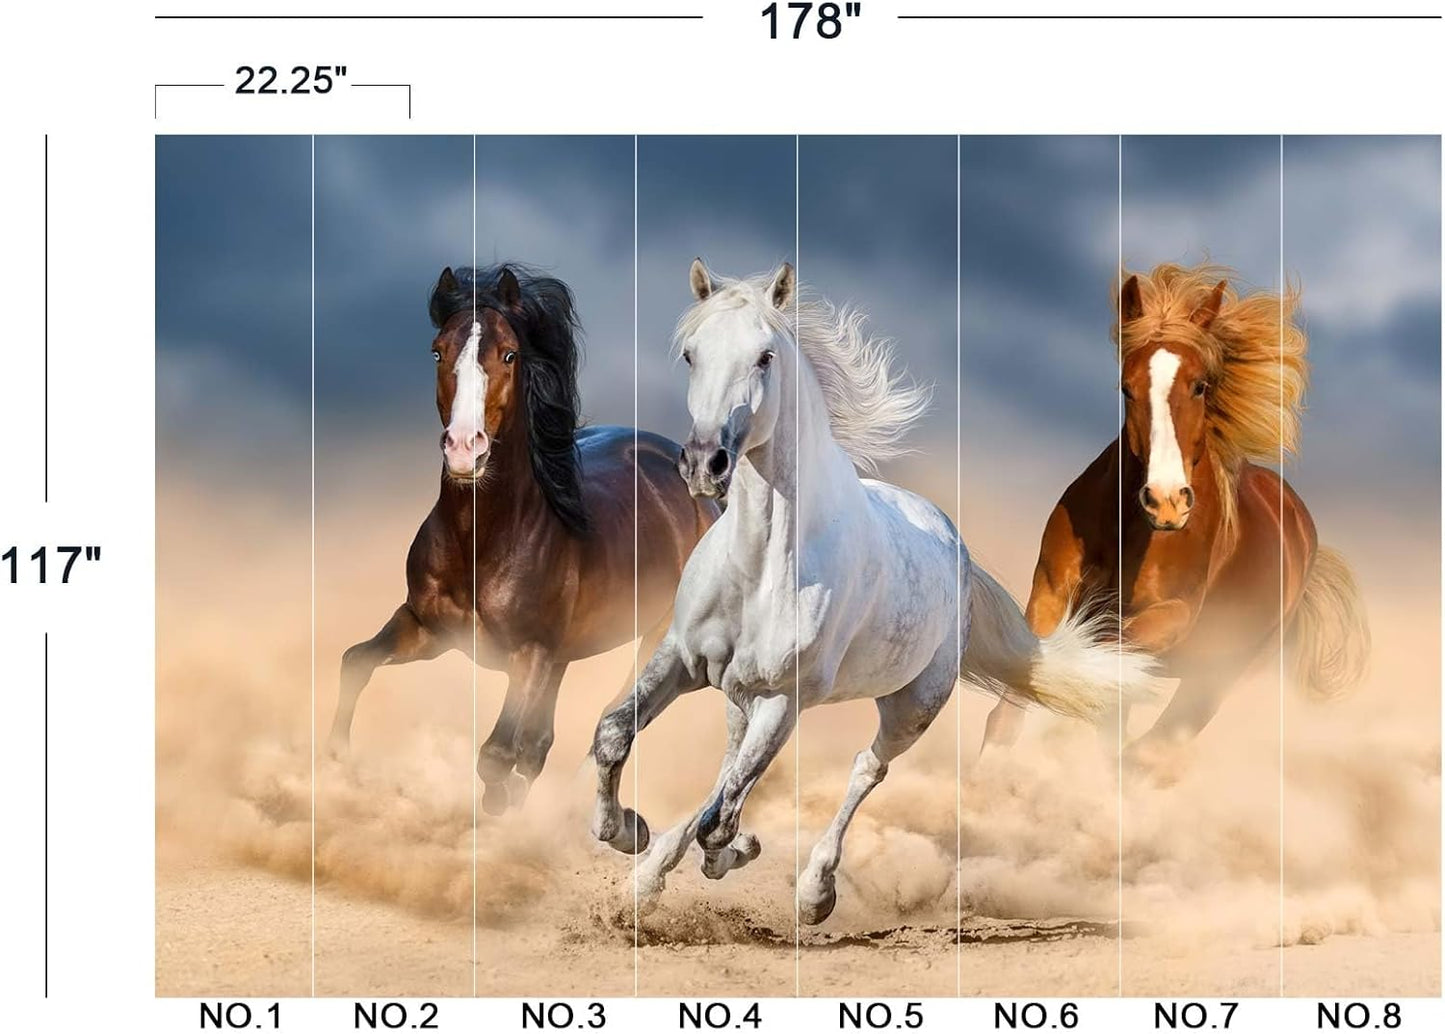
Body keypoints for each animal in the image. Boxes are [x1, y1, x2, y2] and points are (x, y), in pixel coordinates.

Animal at [326, 264, 718, 814]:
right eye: (437, 351)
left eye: (510, 354)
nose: (464, 449)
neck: (482, 540)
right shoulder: (427, 629)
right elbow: (355, 662)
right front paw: (338, 761)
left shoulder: (528, 654)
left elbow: (496, 754)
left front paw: (497, 813)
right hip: (563, 655)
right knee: (541, 742)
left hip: (655, 640)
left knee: (616, 719)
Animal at [588, 259, 1160, 923]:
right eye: (690, 354)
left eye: (764, 357)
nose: (706, 463)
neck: (762, 566)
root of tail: (956, 548)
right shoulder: (681, 657)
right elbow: (615, 737)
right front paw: (626, 833)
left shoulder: (784, 699)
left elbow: (720, 820)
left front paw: (729, 853)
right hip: (741, 695)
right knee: (730, 765)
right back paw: (649, 878)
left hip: (911, 706)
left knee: (865, 769)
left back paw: (814, 891)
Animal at [982, 263, 1370, 774]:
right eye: (1126, 387)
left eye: (1200, 385)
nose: (1166, 502)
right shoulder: (1049, 589)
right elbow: (1022, 688)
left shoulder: (1171, 617)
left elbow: (1097, 657)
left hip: (1219, 675)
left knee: (1152, 745)